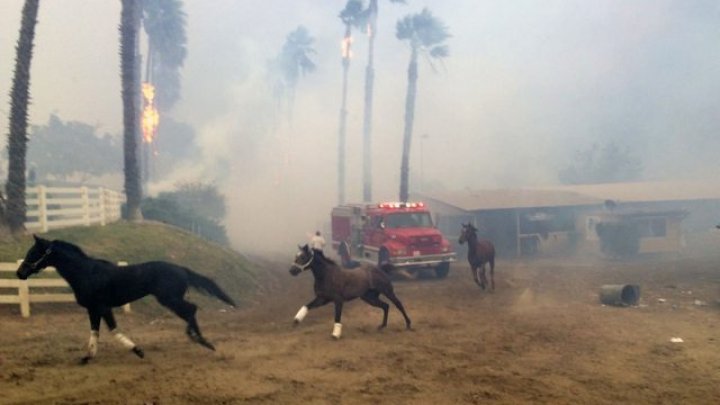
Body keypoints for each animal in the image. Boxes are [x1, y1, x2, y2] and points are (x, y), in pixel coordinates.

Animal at [16, 235, 236, 362]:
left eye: (34, 252)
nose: (20, 273)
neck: (87, 273)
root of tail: (181, 269)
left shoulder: (102, 307)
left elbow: (113, 330)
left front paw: (138, 351)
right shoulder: (93, 309)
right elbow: (94, 332)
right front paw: (87, 356)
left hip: (169, 299)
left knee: (191, 310)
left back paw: (200, 340)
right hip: (170, 299)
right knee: (191, 310)